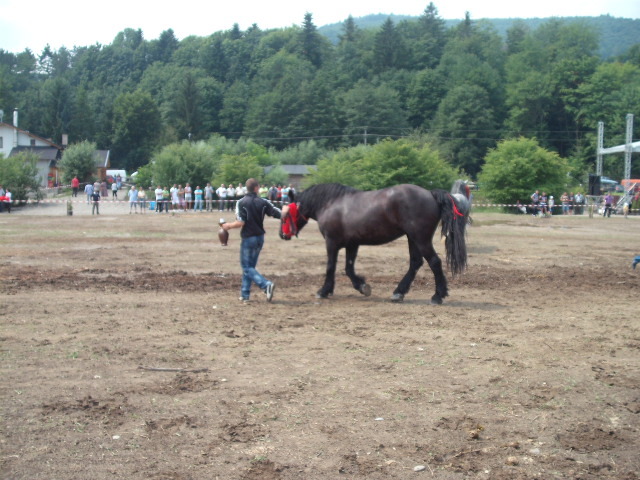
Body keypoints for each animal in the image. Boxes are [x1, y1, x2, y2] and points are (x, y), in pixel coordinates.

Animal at [280, 180, 470, 304]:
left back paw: (437, 296)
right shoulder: (352, 244)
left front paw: (324, 291)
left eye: (286, 213)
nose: (282, 235)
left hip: (420, 238)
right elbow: (349, 269)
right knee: (415, 263)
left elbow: (331, 267)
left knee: (434, 262)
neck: (331, 203)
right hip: (412, 238)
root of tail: (430, 193)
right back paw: (398, 293)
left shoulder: (331, 242)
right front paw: (362, 286)